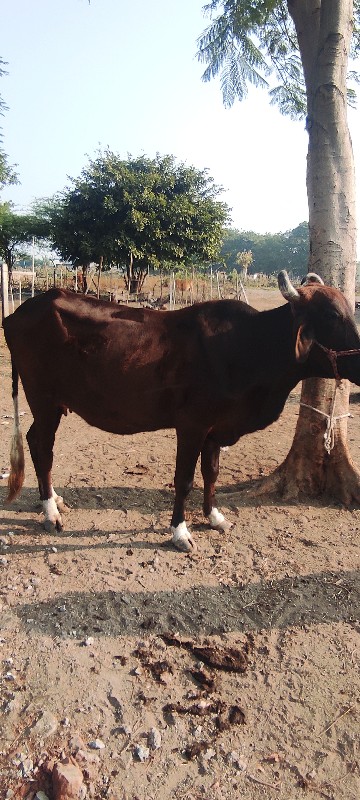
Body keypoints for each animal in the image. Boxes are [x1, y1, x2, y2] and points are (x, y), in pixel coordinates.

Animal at [3, 272, 360, 552]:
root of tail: (20, 311)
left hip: (52, 404)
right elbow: (185, 479)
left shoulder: (217, 428)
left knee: (37, 443)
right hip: (43, 399)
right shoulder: (192, 424)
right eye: (331, 315)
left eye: (347, 310)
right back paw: (50, 512)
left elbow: (211, 473)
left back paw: (54, 499)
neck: (248, 347)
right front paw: (179, 532)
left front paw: (215, 517)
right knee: (41, 446)